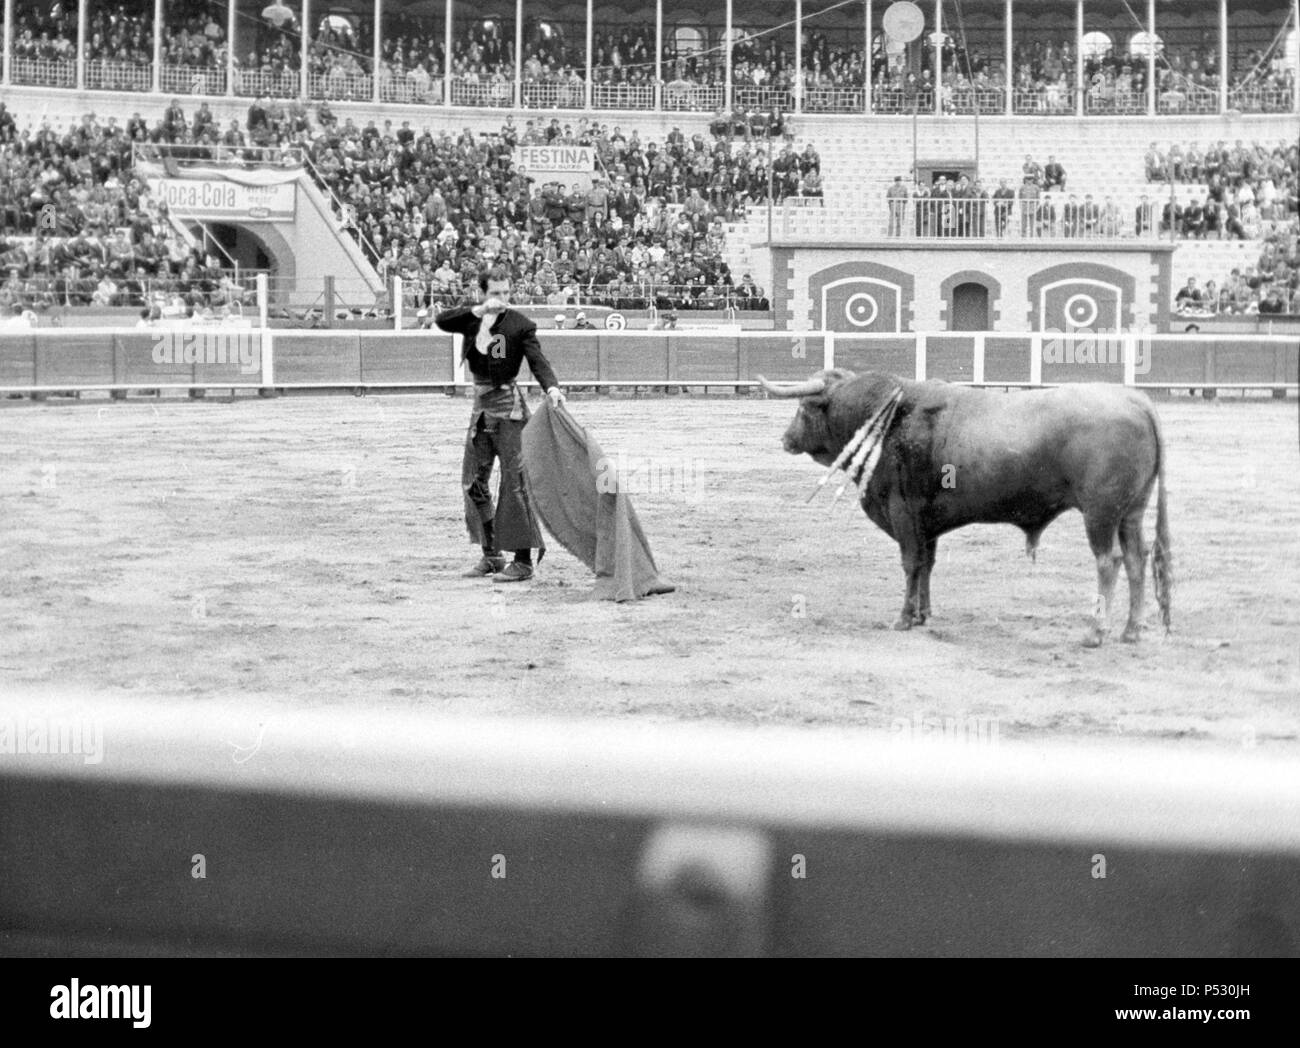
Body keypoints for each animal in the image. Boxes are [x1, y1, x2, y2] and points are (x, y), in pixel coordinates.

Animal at [759, 369, 1175, 647]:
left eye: (804, 407)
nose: (785, 439)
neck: (887, 417)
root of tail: (1135, 400)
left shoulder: (902, 512)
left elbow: (910, 564)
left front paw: (903, 619)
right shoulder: (925, 523)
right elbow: (926, 565)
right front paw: (923, 615)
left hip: (1100, 512)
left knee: (1109, 561)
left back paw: (1095, 632)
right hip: (1131, 512)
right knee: (1136, 559)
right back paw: (1131, 631)